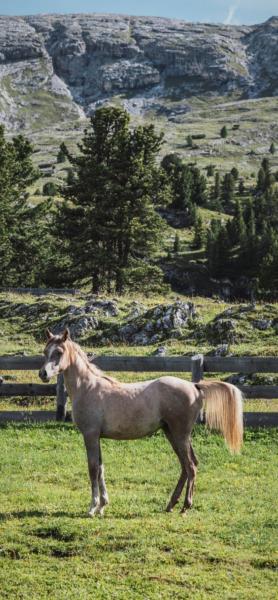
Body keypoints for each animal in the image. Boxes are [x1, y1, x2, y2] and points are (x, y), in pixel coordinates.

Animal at [39, 328, 243, 516]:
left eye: (59, 352)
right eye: (45, 351)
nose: (43, 373)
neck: (88, 387)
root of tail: (195, 386)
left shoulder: (90, 435)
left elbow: (93, 469)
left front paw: (92, 508)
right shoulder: (97, 437)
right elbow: (101, 469)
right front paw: (103, 506)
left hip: (180, 434)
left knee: (190, 466)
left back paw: (185, 506)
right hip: (172, 433)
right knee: (186, 466)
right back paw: (171, 504)